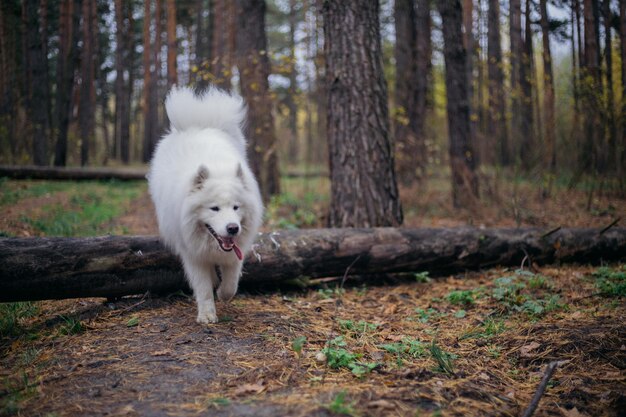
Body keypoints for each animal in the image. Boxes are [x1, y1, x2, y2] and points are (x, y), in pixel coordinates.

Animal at [147, 85, 262, 324]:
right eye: (214, 208)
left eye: (236, 207)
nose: (232, 228)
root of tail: (199, 124)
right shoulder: (192, 254)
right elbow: (202, 287)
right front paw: (207, 314)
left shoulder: (236, 252)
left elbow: (231, 282)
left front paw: (223, 293)